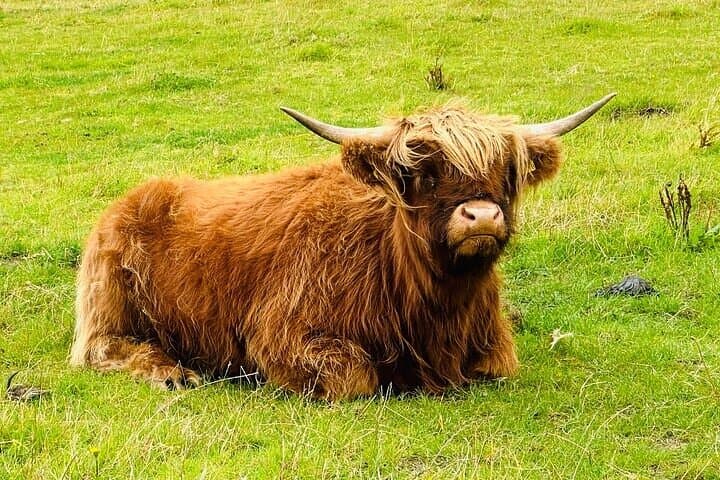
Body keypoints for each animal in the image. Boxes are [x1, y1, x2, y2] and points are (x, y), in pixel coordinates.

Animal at [70, 93, 615, 400]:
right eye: (423, 172)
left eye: (506, 171)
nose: (481, 216)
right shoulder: (283, 337)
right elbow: (357, 380)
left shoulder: (492, 349)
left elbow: (496, 369)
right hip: (107, 307)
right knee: (101, 348)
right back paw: (174, 374)